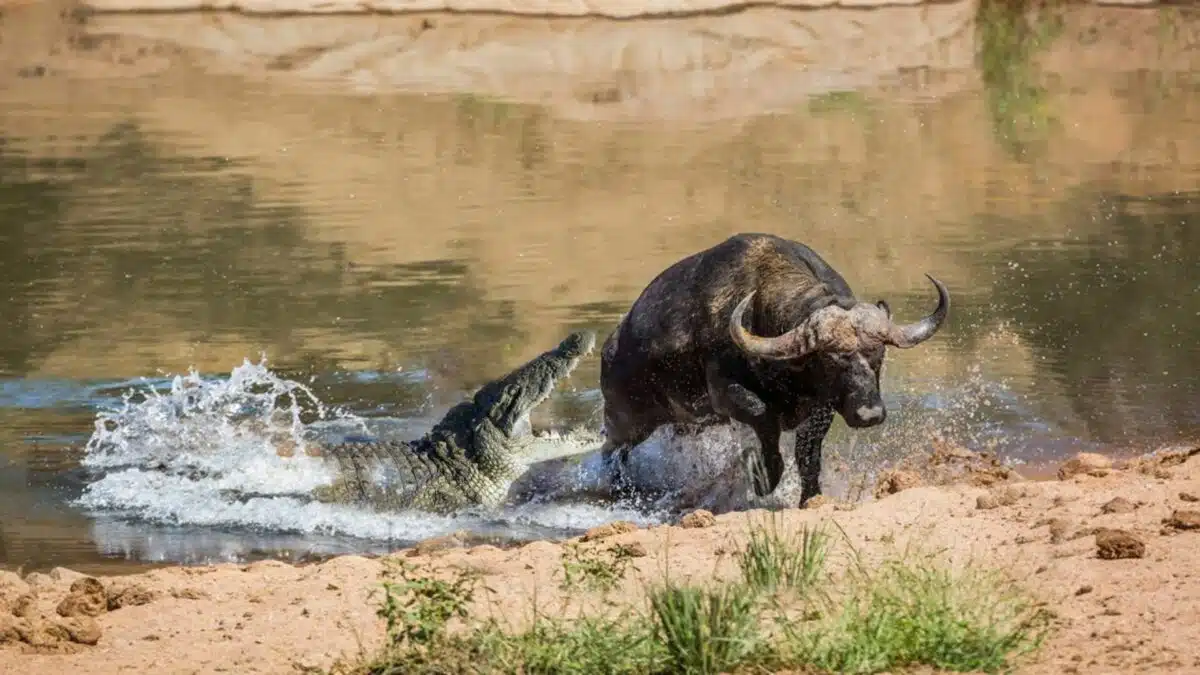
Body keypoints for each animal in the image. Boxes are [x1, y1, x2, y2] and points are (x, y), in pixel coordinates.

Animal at [597, 230, 945, 499]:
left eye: (878, 356)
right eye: (831, 360)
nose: (869, 414)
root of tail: (612, 346)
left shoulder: (821, 406)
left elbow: (808, 457)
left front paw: (810, 497)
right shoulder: (725, 393)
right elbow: (762, 416)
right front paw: (762, 477)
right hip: (625, 419)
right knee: (610, 451)